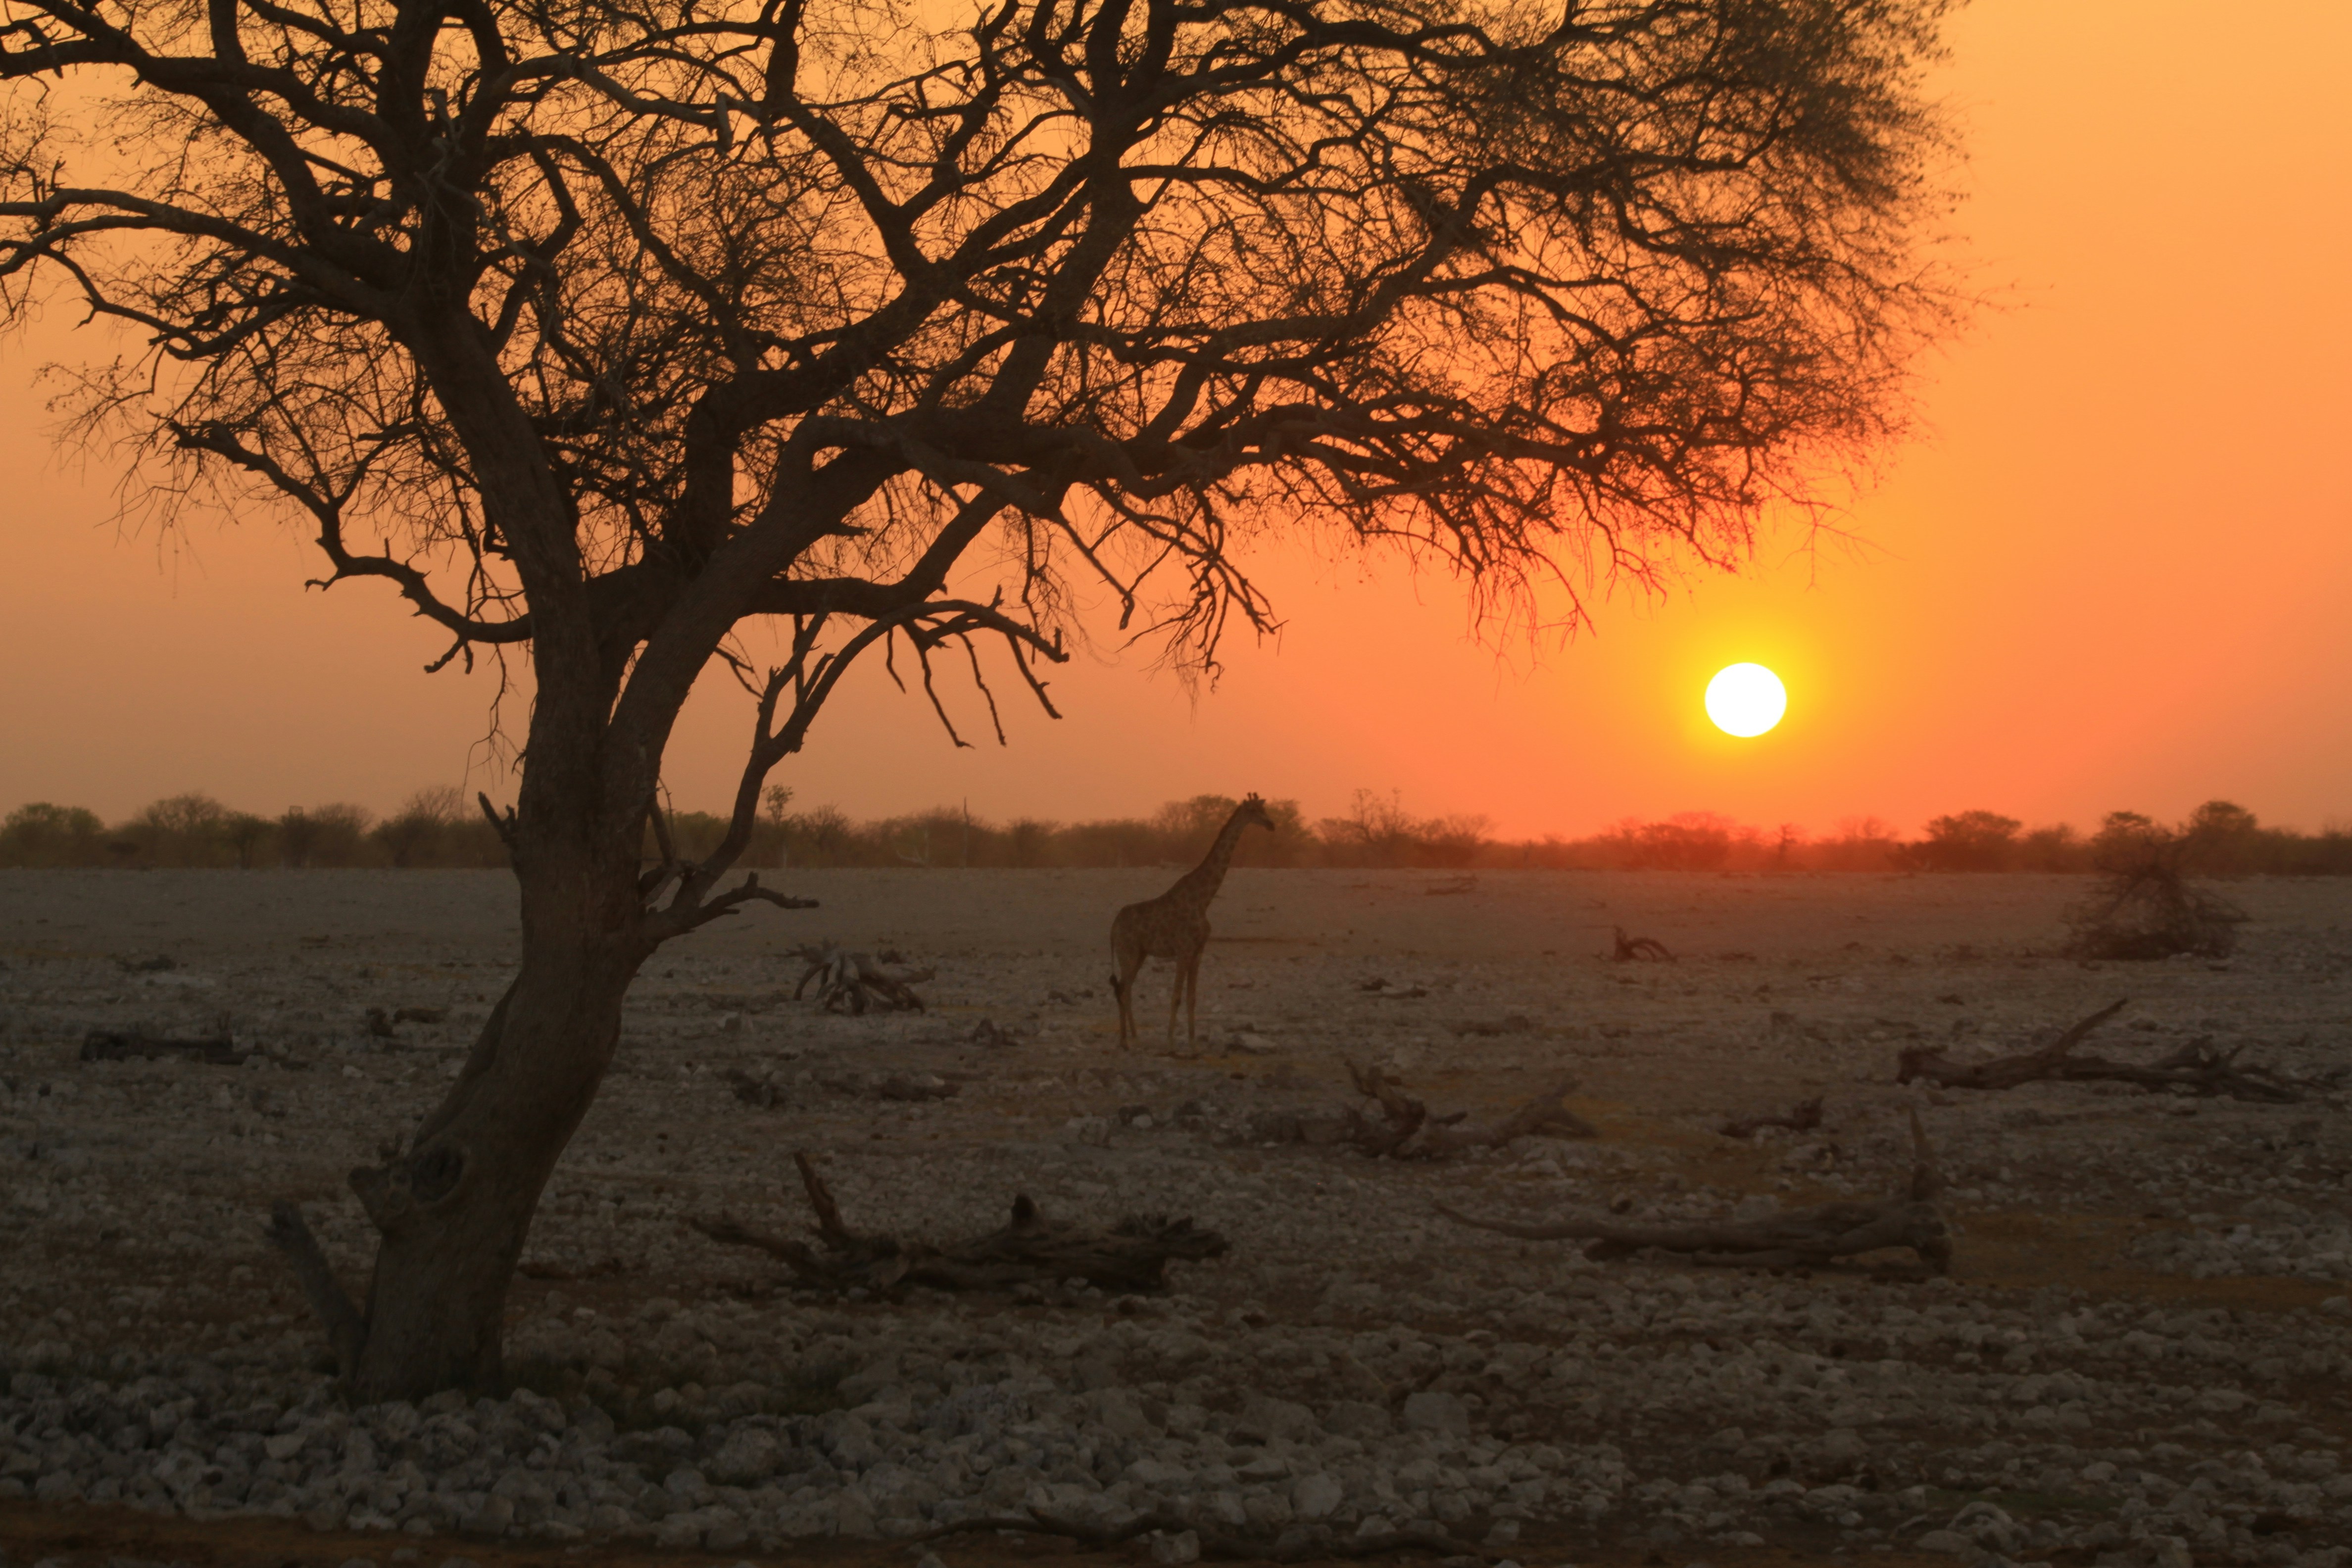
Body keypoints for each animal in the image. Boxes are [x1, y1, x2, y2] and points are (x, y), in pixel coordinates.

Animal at [1110, 794, 1276, 1047]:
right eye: (1254, 810)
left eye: (1263, 808)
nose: (1271, 825)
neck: (1203, 900)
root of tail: (1113, 927)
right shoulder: (1184, 950)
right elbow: (1176, 997)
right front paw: (1170, 1040)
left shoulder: (1199, 951)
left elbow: (1192, 998)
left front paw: (1192, 1040)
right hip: (1127, 953)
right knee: (1121, 988)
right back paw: (1124, 1041)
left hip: (1139, 954)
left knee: (1126, 988)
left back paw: (1134, 1036)